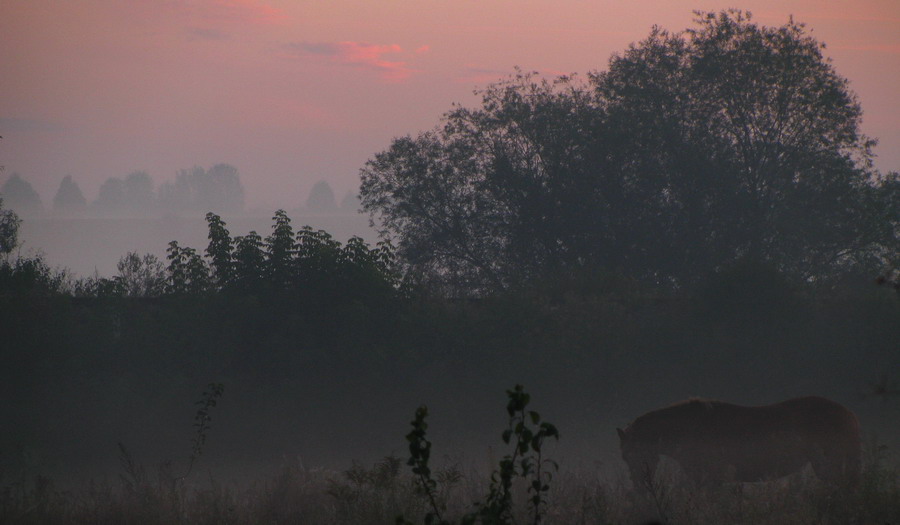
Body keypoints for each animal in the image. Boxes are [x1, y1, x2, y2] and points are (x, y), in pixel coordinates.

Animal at [616, 396, 860, 490]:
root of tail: (847, 413)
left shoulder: (711, 480)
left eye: (630, 454)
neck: (688, 428)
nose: (640, 486)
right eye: (624, 457)